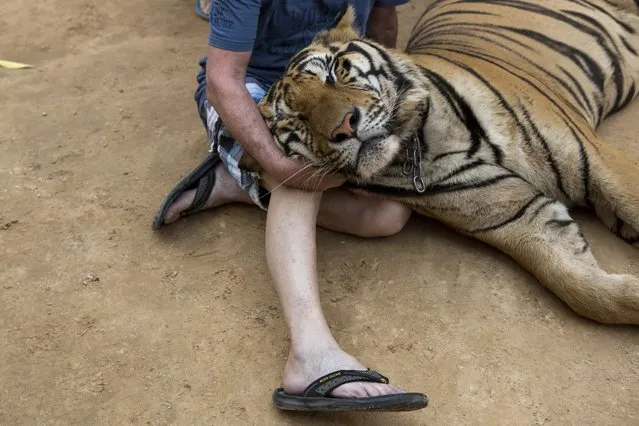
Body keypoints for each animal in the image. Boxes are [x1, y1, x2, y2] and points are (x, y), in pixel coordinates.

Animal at [238, 0, 639, 324]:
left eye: (333, 71)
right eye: (296, 120)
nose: (344, 126)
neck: (418, 146)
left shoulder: (598, 160)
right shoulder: (517, 216)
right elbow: (580, 287)